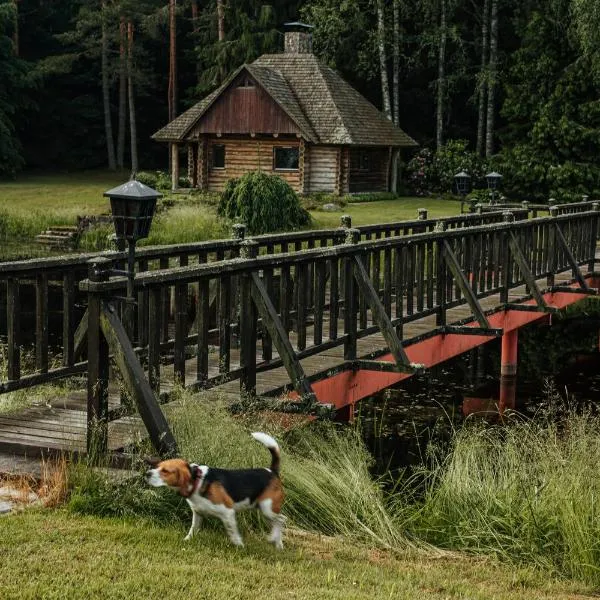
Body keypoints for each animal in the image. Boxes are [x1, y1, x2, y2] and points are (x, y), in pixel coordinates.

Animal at [145, 432, 286, 548]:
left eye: (165, 471)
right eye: (157, 466)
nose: (147, 474)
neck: (197, 480)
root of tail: (272, 471)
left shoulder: (228, 512)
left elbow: (232, 532)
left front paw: (239, 545)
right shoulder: (198, 514)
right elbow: (192, 530)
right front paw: (187, 540)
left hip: (267, 509)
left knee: (282, 520)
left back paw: (272, 538)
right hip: (264, 511)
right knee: (277, 523)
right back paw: (278, 545)